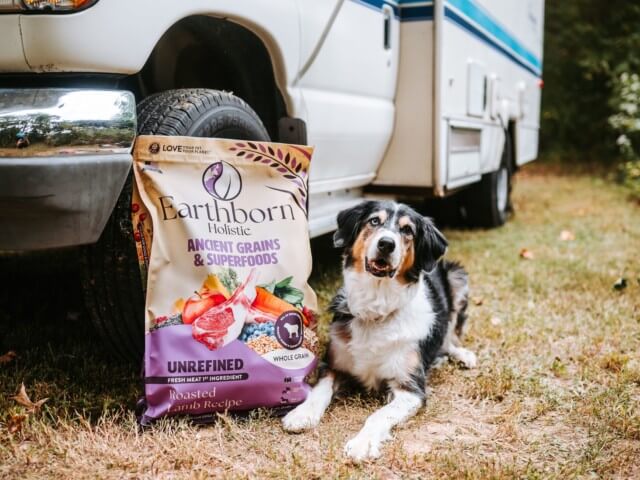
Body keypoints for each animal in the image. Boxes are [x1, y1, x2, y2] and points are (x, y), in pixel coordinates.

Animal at [282, 200, 478, 462]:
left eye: (407, 230)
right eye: (374, 221)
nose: (386, 243)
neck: (376, 309)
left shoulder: (410, 389)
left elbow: (379, 415)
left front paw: (362, 443)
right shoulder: (333, 365)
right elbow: (318, 391)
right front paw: (302, 414)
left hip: (457, 277)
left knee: (449, 337)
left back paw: (463, 355)